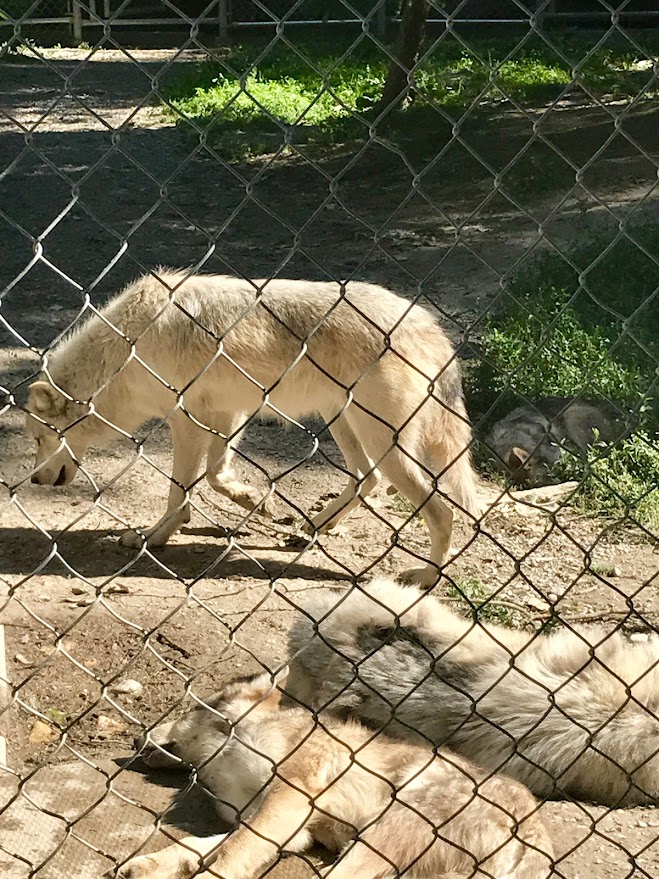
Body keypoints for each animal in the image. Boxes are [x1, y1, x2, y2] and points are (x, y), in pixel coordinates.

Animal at [24, 269, 480, 586]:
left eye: (39, 438)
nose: (37, 481)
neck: (126, 352)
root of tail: (431, 327)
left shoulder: (187, 423)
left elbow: (180, 493)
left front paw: (154, 537)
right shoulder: (230, 413)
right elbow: (216, 475)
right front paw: (257, 502)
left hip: (383, 442)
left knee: (440, 511)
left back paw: (426, 578)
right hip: (343, 421)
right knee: (366, 480)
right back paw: (315, 527)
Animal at [117, 669, 553, 879]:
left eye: (188, 709)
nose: (136, 738)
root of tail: (537, 835)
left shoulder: (289, 797)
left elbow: (228, 856)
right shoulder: (287, 828)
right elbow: (202, 845)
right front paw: (152, 865)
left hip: (382, 833)